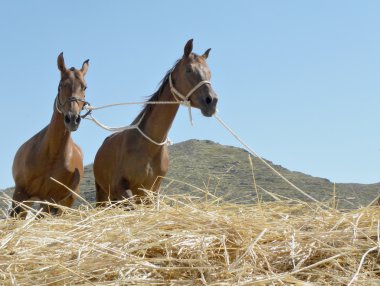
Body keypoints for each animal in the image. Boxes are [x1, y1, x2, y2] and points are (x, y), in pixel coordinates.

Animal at [10, 53, 89, 217]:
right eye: (61, 85)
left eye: (84, 86)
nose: (73, 119)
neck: (50, 154)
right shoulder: (20, 194)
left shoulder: (49, 199)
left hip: (62, 203)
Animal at [93, 39, 218, 206]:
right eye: (189, 70)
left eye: (209, 72)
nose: (211, 101)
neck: (148, 146)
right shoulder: (120, 188)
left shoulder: (151, 193)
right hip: (103, 195)